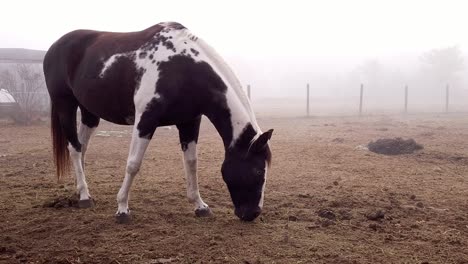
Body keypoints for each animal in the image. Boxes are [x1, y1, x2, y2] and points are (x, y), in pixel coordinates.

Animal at [43, 21, 274, 223]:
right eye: (258, 171)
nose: (252, 214)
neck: (181, 68)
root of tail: (54, 47)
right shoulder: (145, 120)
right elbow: (133, 164)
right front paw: (122, 209)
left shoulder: (190, 122)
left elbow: (191, 163)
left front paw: (200, 206)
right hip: (65, 105)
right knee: (74, 148)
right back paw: (84, 196)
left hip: (90, 113)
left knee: (82, 148)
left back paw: (82, 190)